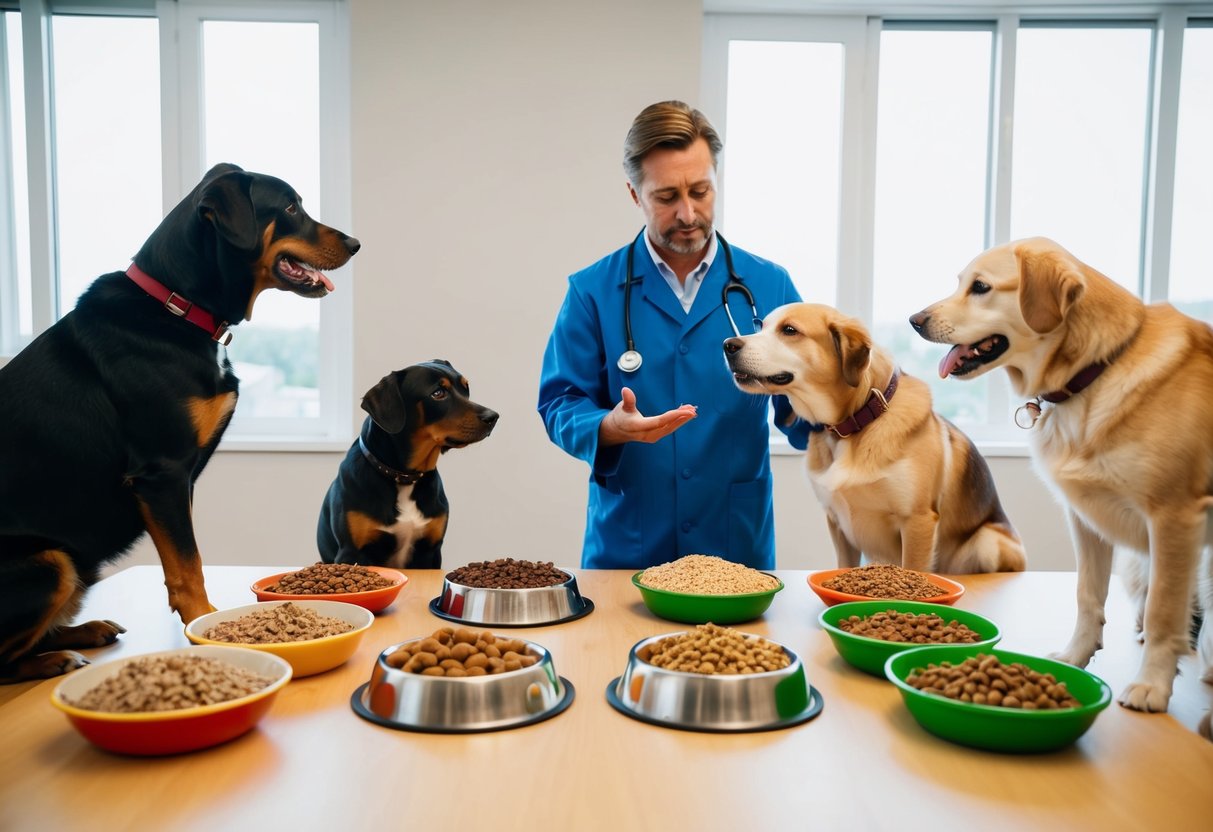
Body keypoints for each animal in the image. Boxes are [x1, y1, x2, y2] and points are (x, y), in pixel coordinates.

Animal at [0, 162, 356, 684]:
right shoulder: (162, 472)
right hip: (51, 563)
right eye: (291, 207)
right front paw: (205, 623)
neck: (178, 306)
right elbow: (188, 565)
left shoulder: (179, 481)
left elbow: (184, 558)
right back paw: (54, 658)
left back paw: (82, 632)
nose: (355, 243)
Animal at [320, 361, 499, 570]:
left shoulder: (430, 551)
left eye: (466, 388)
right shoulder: (351, 551)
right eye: (438, 393)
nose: (493, 417)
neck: (404, 476)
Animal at [722, 303, 1028, 577]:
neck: (854, 424)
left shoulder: (918, 522)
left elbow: (915, 570)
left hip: (987, 542)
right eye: (759, 326)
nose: (728, 344)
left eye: (789, 330)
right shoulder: (838, 523)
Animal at [912, 236, 1213, 737]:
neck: (1097, 369)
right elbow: (1087, 596)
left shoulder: (1174, 518)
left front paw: (1151, 685)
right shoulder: (1086, 517)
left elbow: (1163, 610)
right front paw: (1074, 658)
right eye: (960, 283)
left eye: (981, 287)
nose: (915, 321)